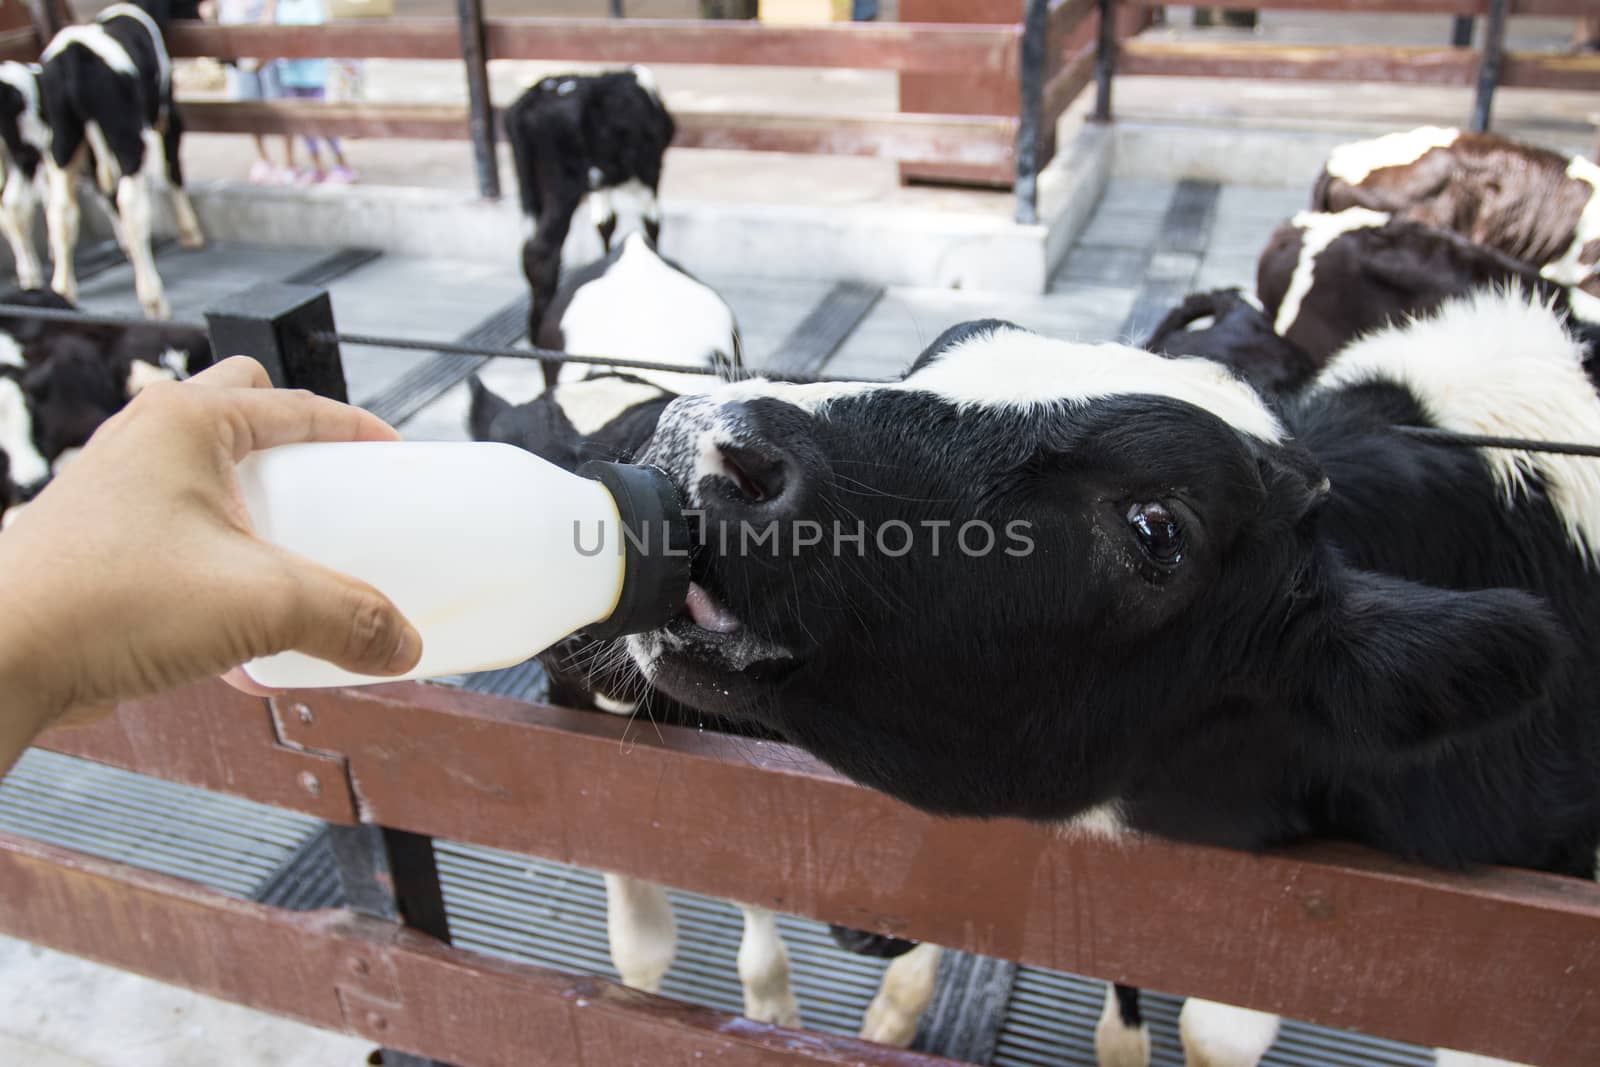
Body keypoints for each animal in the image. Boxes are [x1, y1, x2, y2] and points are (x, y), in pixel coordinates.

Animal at [39, 0, 203, 319]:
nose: (199, 18)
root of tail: (74, 52)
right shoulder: (168, 113)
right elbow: (172, 171)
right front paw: (190, 232)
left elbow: (103, 193)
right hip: (127, 135)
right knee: (131, 204)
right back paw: (154, 299)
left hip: (64, 138)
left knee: (61, 209)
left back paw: (63, 290)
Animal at [505, 66, 668, 350]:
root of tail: (535, 94)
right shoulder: (649, 169)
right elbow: (652, 223)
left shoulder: (600, 181)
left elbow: (605, 223)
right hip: (563, 183)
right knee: (541, 250)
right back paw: (540, 327)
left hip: (530, 187)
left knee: (529, 248)